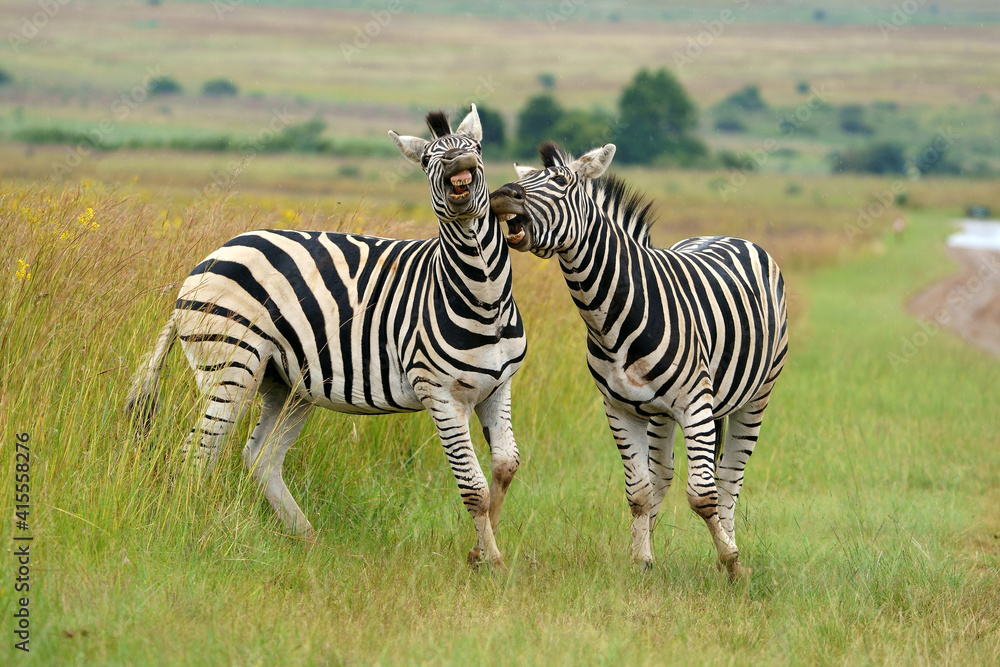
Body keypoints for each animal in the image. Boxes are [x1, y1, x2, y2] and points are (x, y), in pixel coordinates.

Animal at [126, 105, 526, 568]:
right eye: (428, 160)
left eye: (476, 147)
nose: (459, 163)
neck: (483, 295)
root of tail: (207, 260)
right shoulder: (440, 394)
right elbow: (474, 489)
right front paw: (493, 564)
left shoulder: (498, 386)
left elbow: (505, 467)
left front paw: (479, 552)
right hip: (231, 367)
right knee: (199, 452)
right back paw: (195, 530)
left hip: (286, 383)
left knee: (261, 456)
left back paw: (307, 538)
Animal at [490, 142, 787, 578]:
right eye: (525, 179)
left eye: (560, 181)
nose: (500, 196)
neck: (611, 318)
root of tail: (726, 234)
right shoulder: (620, 408)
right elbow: (639, 490)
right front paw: (641, 559)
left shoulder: (695, 405)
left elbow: (702, 495)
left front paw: (732, 562)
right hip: (661, 413)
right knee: (662, 474)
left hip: (758, 395)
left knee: (729, 478)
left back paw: (731, 548)